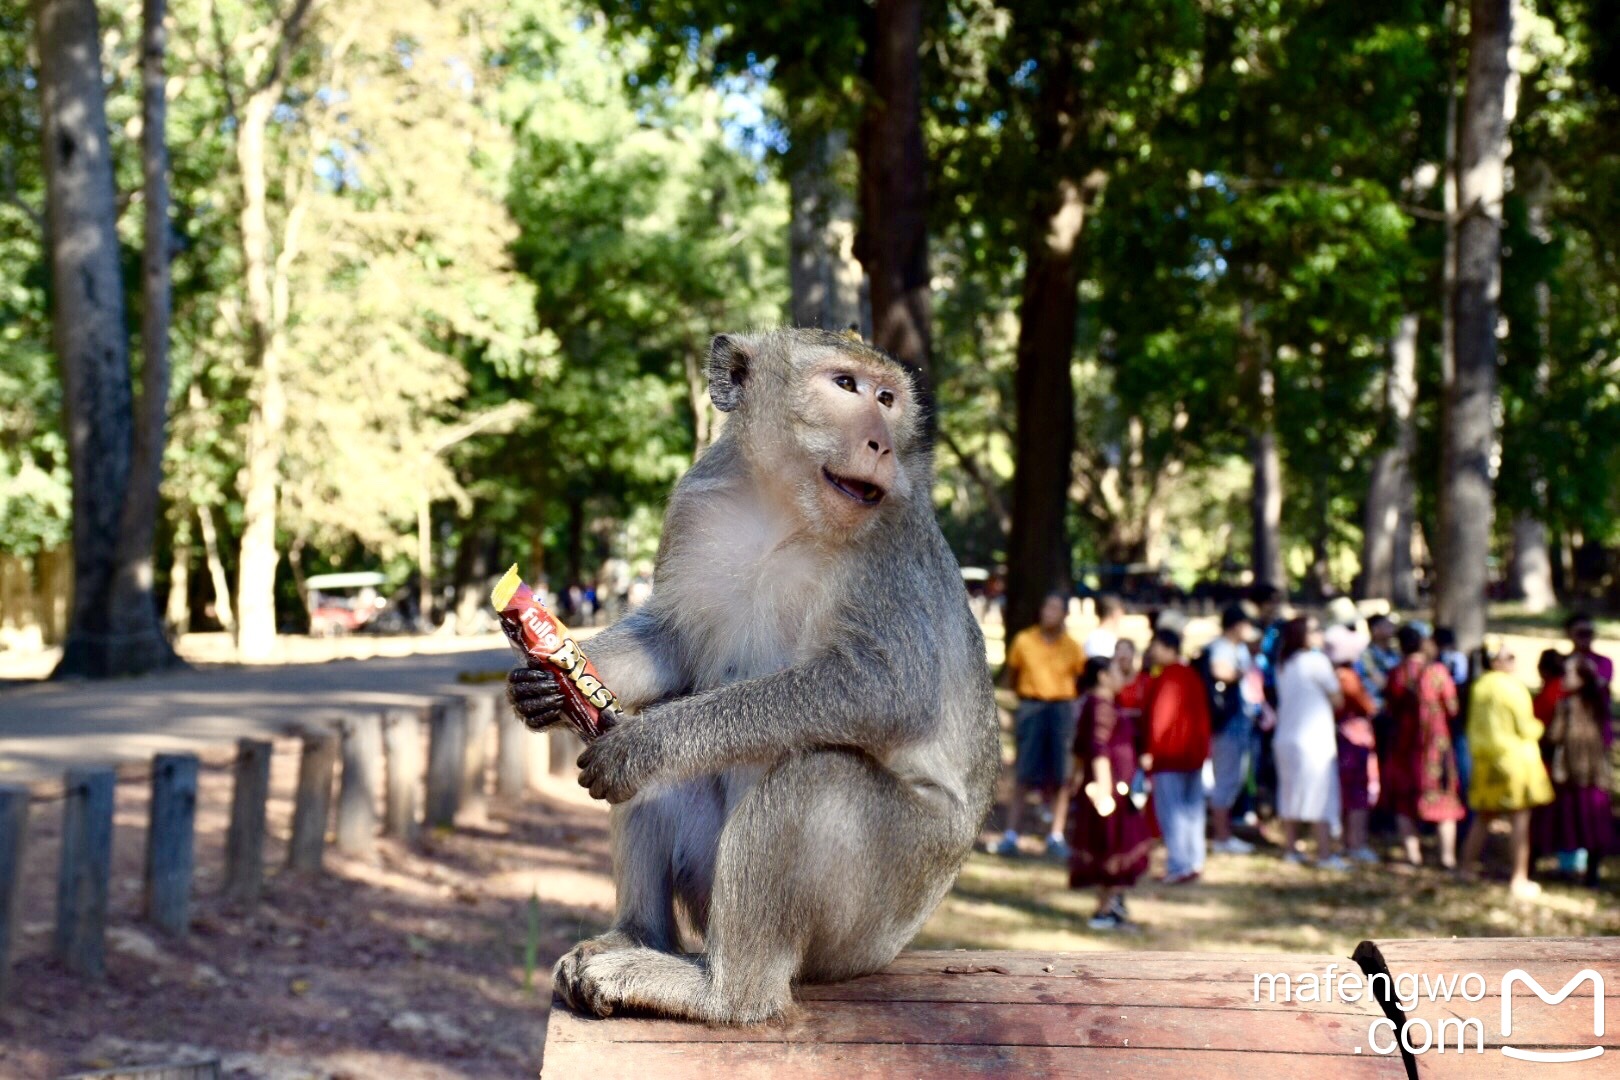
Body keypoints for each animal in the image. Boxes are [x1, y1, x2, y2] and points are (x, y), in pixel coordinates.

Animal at [505, 327, 997, 1023]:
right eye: (846, 385)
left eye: (887, 398)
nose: (880, 442)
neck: (784, 509)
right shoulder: (694, 505)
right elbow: (672, 643)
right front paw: (548, 684)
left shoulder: (892, 543)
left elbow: (889, 690)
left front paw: (647, 742)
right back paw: (637, 936)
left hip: (881, 907)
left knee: (815, 778)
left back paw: (722, 991)